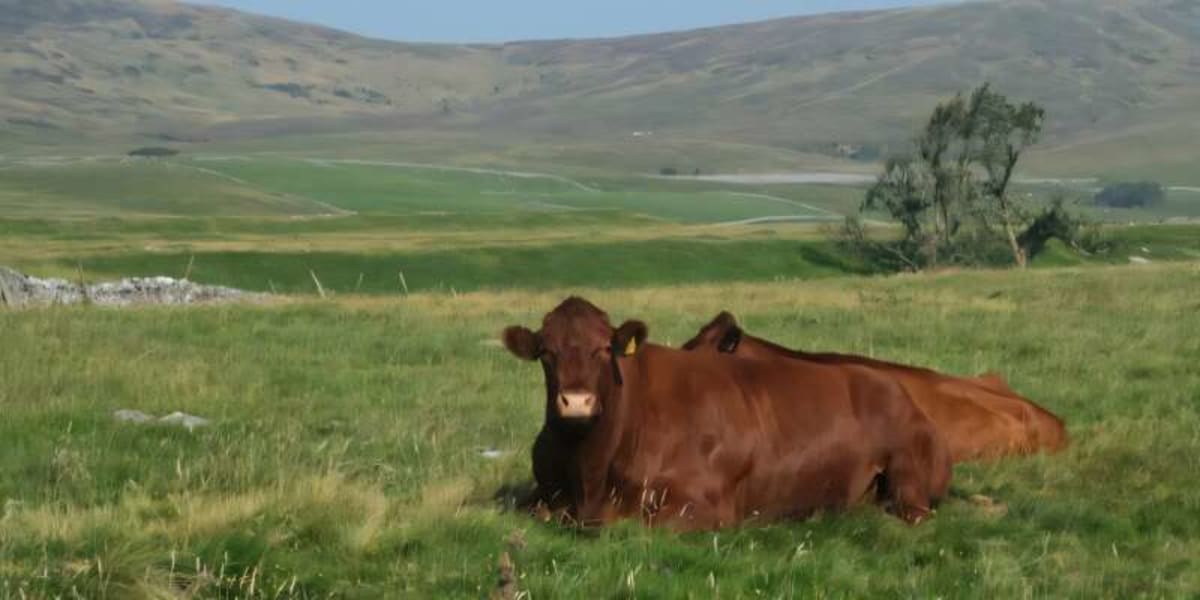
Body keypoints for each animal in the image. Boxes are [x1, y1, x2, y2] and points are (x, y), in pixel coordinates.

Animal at [503, 297, 951, 531]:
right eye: (546, 353)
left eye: (602, 349)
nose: (576, 402)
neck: (591, 471)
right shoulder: (543, 494)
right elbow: (533, 509)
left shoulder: (704, 508)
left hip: (908, 484)